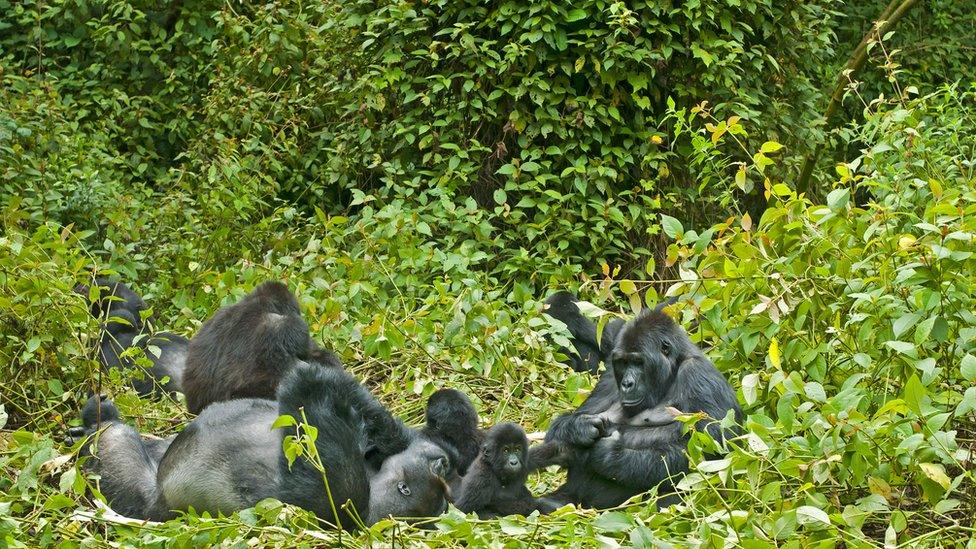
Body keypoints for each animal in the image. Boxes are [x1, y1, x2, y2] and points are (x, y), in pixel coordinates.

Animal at [528, 308, 744, 510]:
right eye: (623, 363)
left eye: (638, 362)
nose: (627, 384)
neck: (673, 368)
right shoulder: (609, 376)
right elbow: (567, 424)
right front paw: (580, 428)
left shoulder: (700, 376)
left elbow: (710, 453)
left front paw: (611, 457)